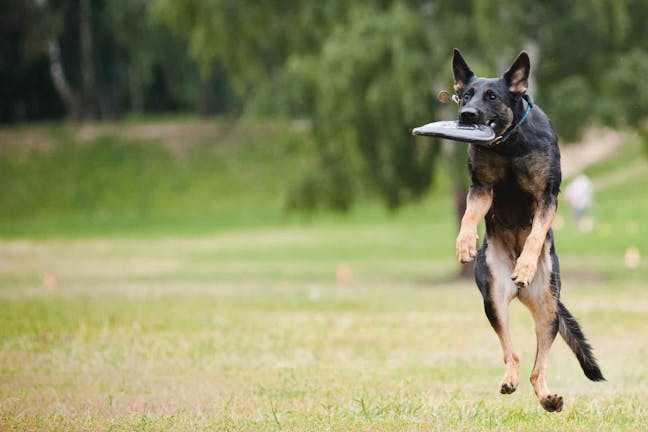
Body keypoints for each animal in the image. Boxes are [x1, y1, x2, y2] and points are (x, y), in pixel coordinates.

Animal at [450, 49, 608, 414]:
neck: (507, 144)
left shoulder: (547, 196)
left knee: (539, 368)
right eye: (466, 95)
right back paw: (513, 381)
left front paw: (525, 263)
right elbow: (468, 216)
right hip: (493, 299)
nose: (466, 115)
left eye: (491, 96)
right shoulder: (481, 189)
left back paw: (549, 398)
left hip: (549, 309)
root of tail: (519, 294)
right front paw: (465, 243)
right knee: (514, 354)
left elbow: (536, 234)